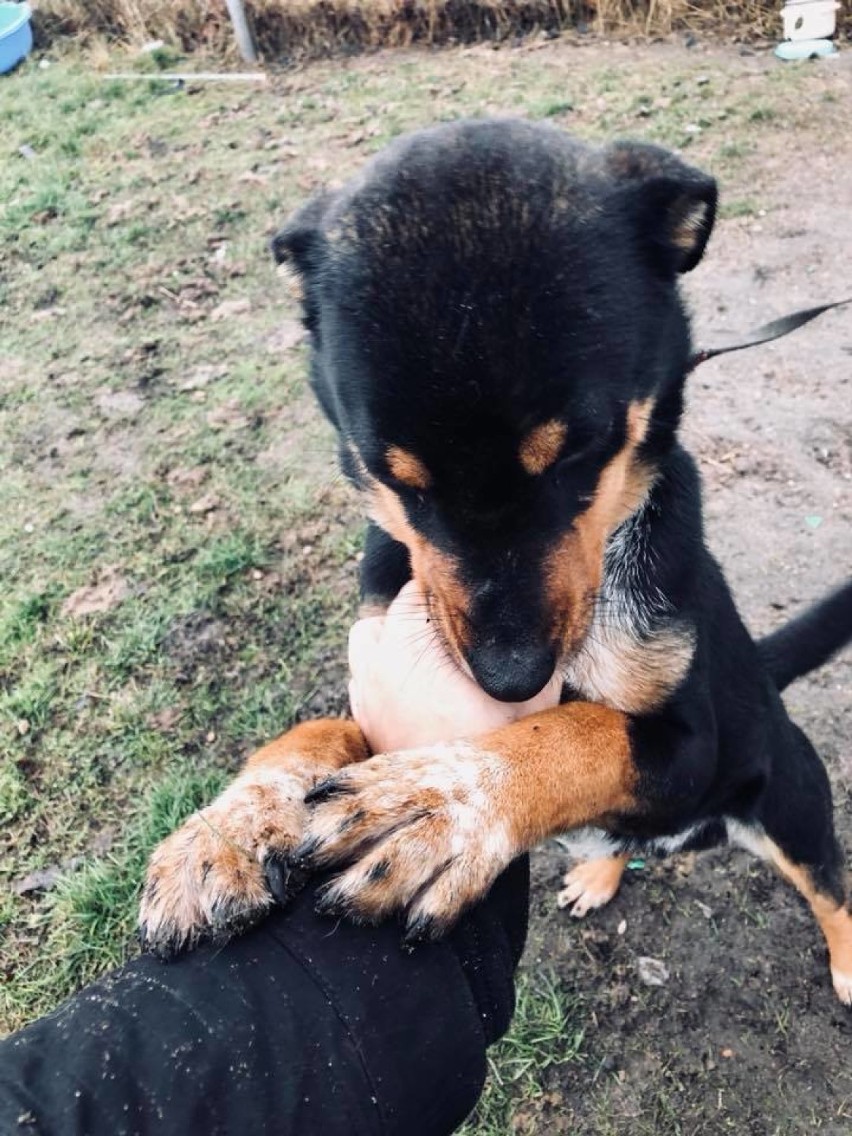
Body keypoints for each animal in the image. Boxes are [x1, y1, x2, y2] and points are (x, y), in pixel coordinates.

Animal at [140, 117, 852, 1004]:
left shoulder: (690, 747)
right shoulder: (380, 684)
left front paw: (444, 806)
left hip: (790, 797)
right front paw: (225, 830)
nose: (510, 678)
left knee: (828, 886)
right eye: (394, 478)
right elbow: (314, 731)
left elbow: (581, 733)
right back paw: (598, 874)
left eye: (582, 451)